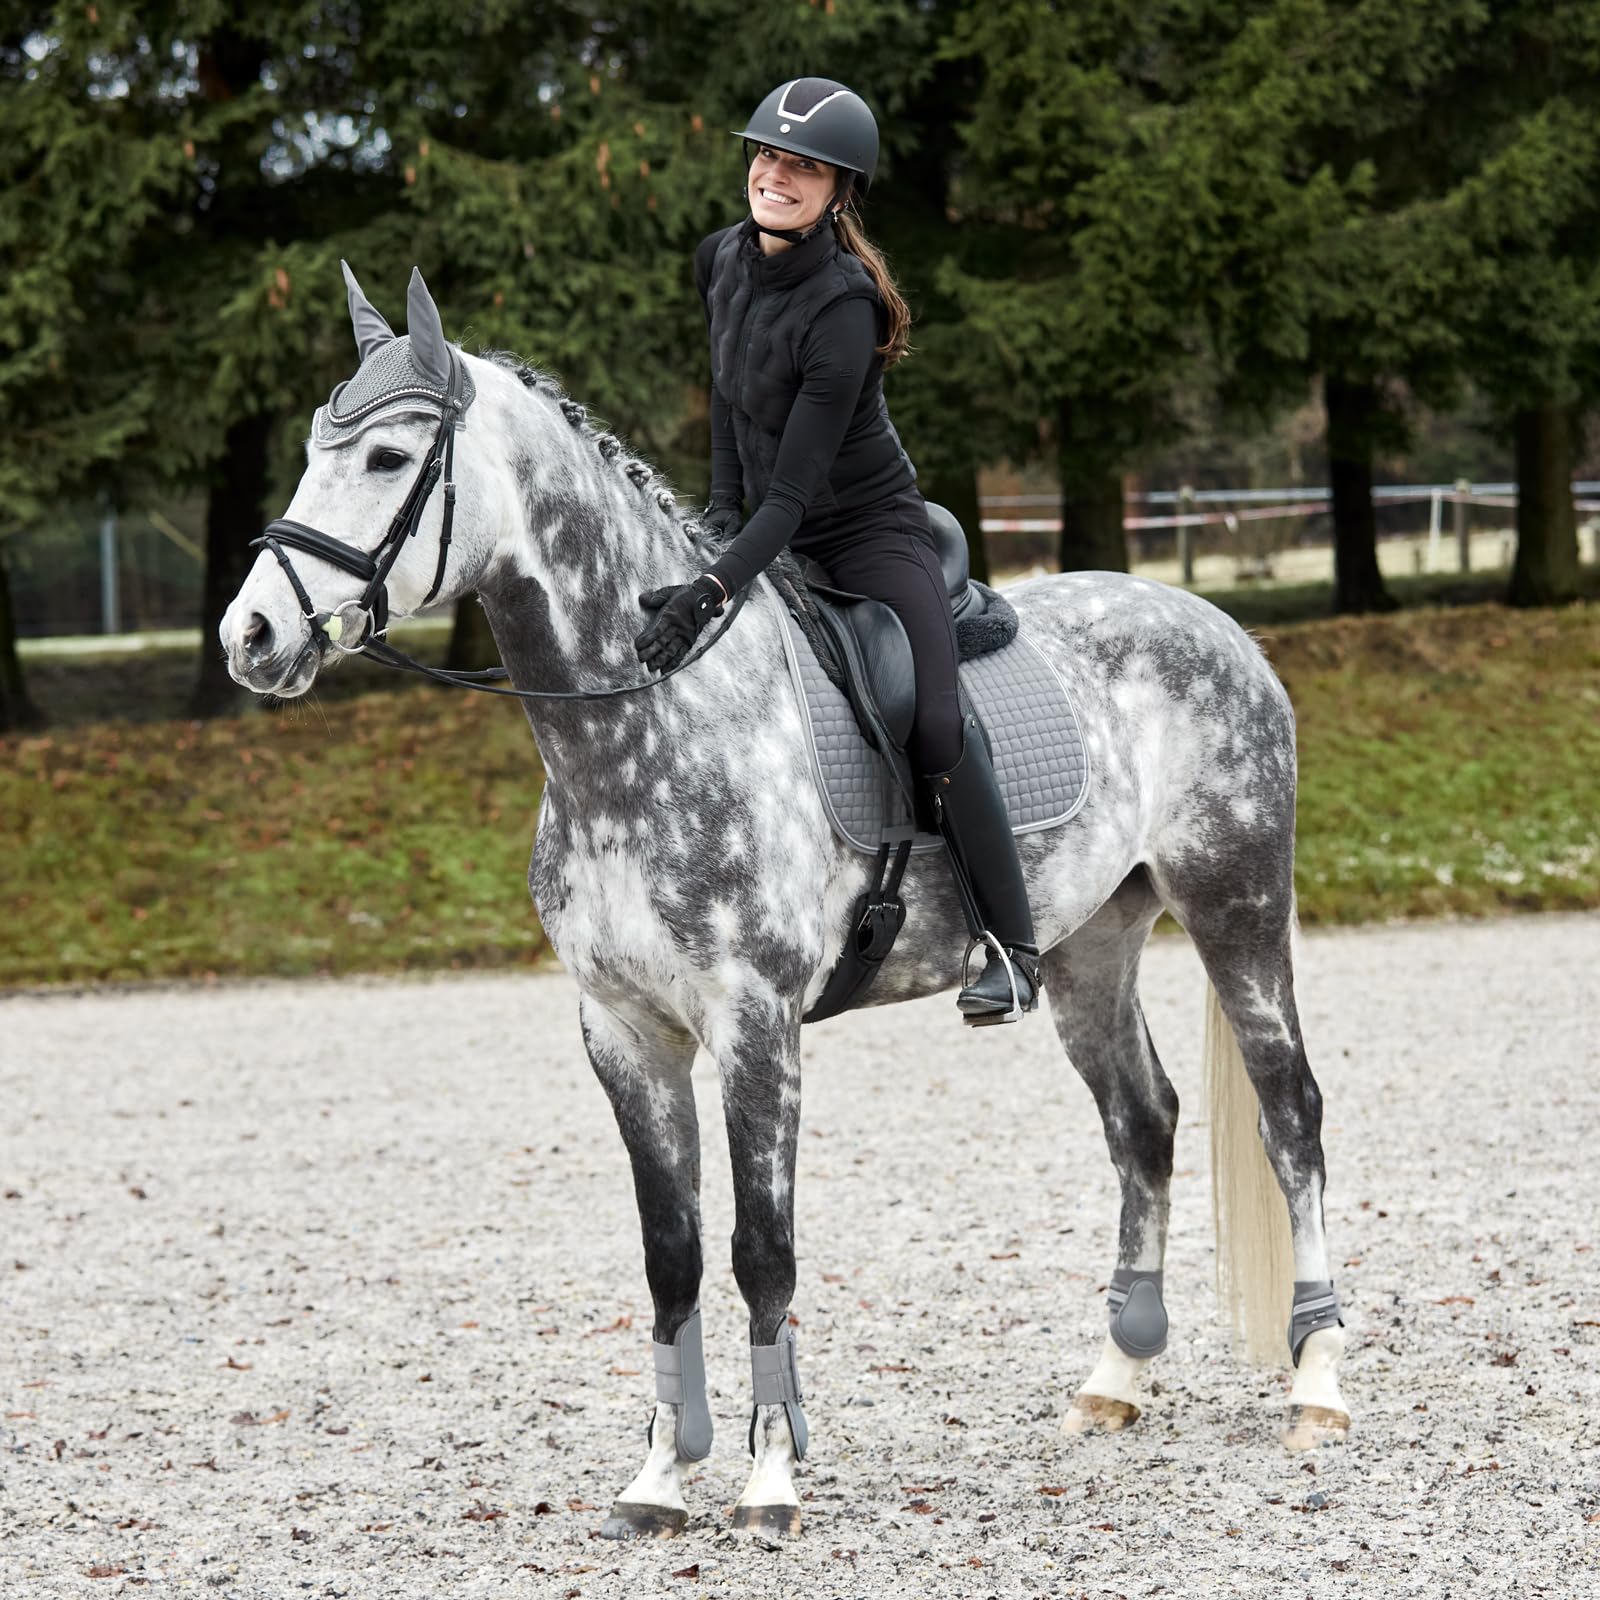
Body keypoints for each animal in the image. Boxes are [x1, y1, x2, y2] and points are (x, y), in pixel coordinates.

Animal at [219, 265, 1350, 1540]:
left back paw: (1317, 1385)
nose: (250, 634)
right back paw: (1113, 1380)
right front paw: (660, 1477)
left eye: (385, 457)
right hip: (1087, 947)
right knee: (1142, 1121)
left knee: (1290, 1114)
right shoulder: (625, 1036)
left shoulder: (755, 1027)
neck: (649, 721)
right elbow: (669, 1255)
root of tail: (1213, 624)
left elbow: (762, 1249)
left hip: (1235, 905)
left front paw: (768, 1477)